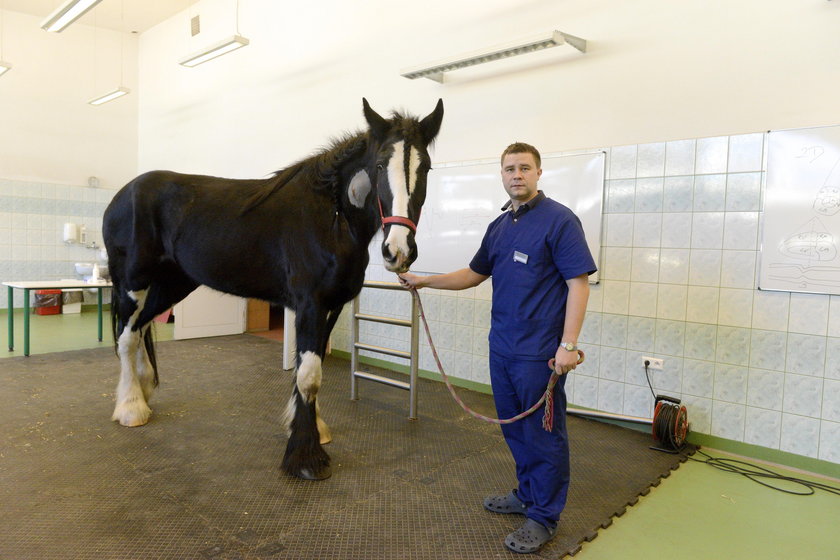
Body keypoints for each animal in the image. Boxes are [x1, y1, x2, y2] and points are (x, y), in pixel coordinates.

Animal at [101, 98, 442, 480]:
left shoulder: (332, 305)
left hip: (173, 283)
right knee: (126, 336)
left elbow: (313, 366)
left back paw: (144, 391)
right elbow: (309, 375)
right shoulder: (310, 305)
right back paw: (131, 407)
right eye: (381, 164)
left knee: (141, 326)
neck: (330, 216)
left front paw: (313, 429)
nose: (398, 251)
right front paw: (305, 457)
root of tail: (123, 194)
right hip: (133, 281)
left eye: (426, 167)